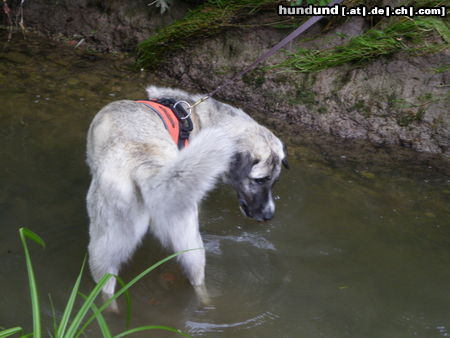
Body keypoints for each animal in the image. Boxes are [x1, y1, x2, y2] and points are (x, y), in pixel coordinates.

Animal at [85, 86, 288, 302]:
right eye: (260, 180)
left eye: (274, 182)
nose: (269, 216)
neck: (202, 120)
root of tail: (146, 167)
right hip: (185, 240)